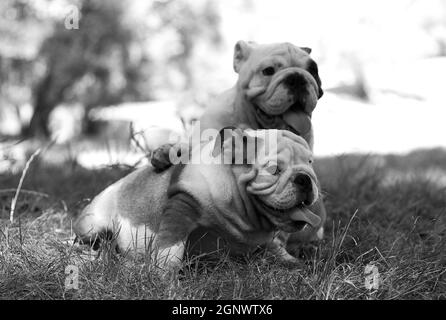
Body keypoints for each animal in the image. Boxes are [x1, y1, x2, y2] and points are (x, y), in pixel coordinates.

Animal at [75, 129, 322, 268]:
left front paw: (293, 262)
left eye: (310, 163)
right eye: (274, 170)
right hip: (94, 224)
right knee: (90, 239)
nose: (305, 178)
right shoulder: (182, 206)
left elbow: (275, 247)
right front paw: (163, 276)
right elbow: (170, 249)